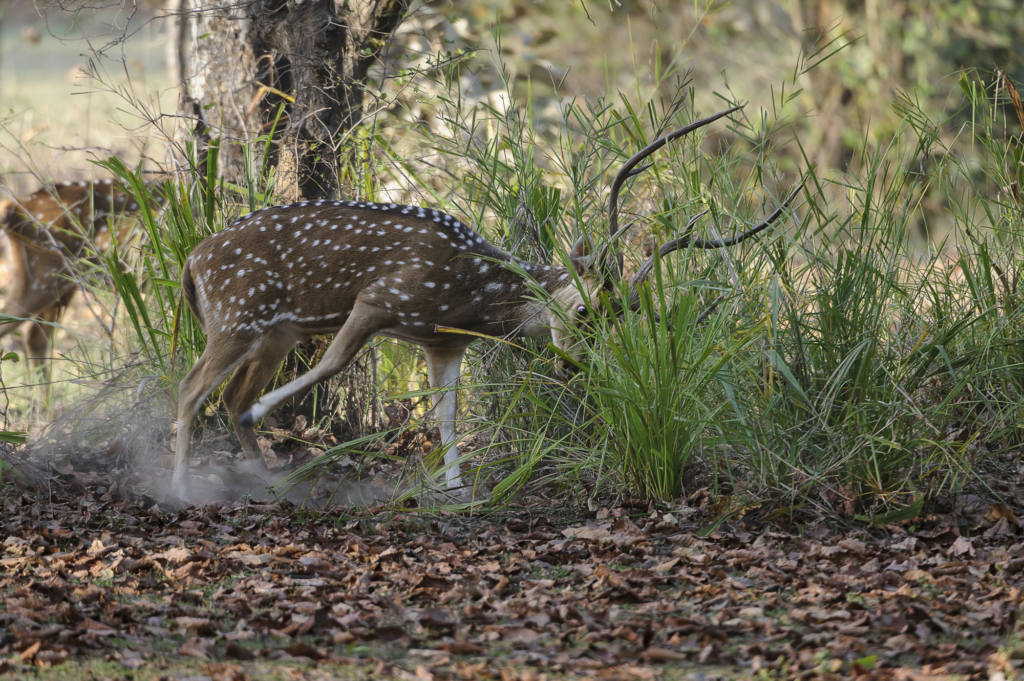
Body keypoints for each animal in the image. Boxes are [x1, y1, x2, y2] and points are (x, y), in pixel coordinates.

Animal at [172, 106, 802, 499]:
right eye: (583, 311)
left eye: (619, 322)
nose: (575, 367)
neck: (473, 294)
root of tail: (191, 262)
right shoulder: (381, 297)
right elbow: (335, 362)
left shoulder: (440, 339)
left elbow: (447, 413)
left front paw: (454, 487)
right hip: (237, 314)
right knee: (193, 387)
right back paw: (180, 482)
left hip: (274, 330)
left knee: (227, 394)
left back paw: (260, 478)